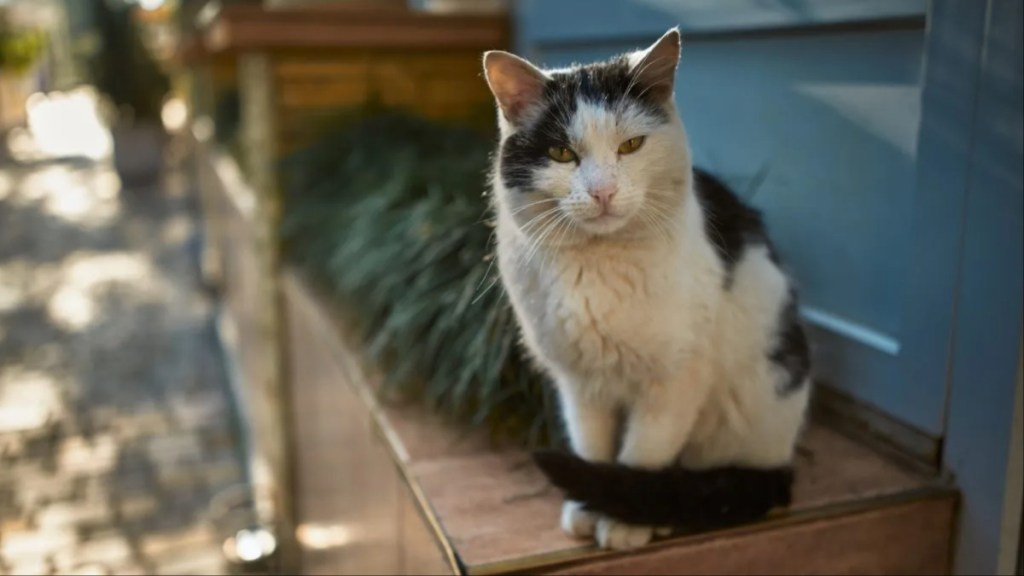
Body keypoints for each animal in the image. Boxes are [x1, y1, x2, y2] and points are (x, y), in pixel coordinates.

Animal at [483, 29, 811, 549]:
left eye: (631, 145)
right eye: (561, 154)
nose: (602, 192)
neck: (597, 265)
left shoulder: (676, 379)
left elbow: (643, 453)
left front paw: (623, 522)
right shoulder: (580, 383)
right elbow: (591, 448)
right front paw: (587, 508)